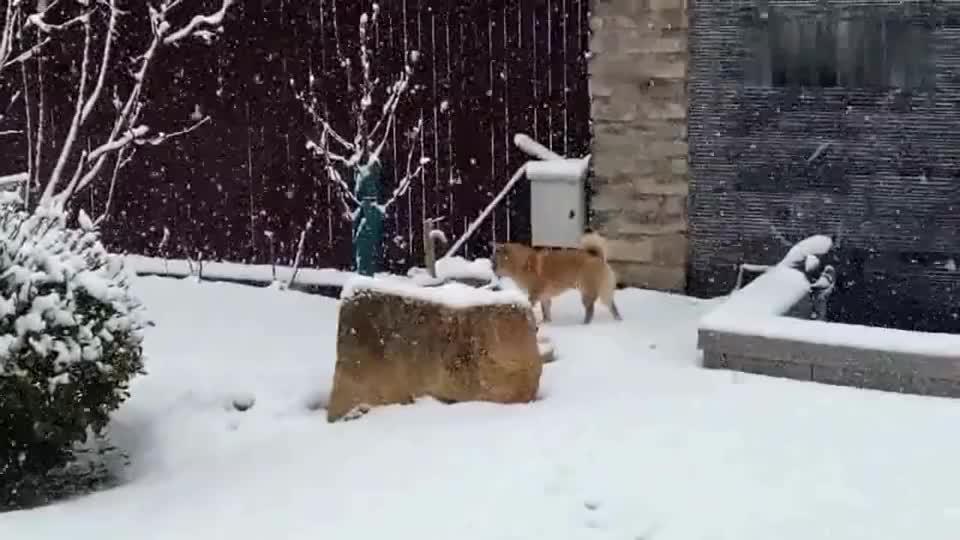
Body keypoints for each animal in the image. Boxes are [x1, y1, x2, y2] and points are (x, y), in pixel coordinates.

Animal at [496, 233, 624, 324]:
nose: (493, 268)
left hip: (587, 293)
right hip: (603, 292)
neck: (522, 263)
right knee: (612, 306)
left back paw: (584, 324)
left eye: (496, 261)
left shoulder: (535, 293)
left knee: (590, 310)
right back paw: (618, 320)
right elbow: (546, 311)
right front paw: (546, 323)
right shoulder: (544, 297)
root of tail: (596, 256)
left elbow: (532, 306)